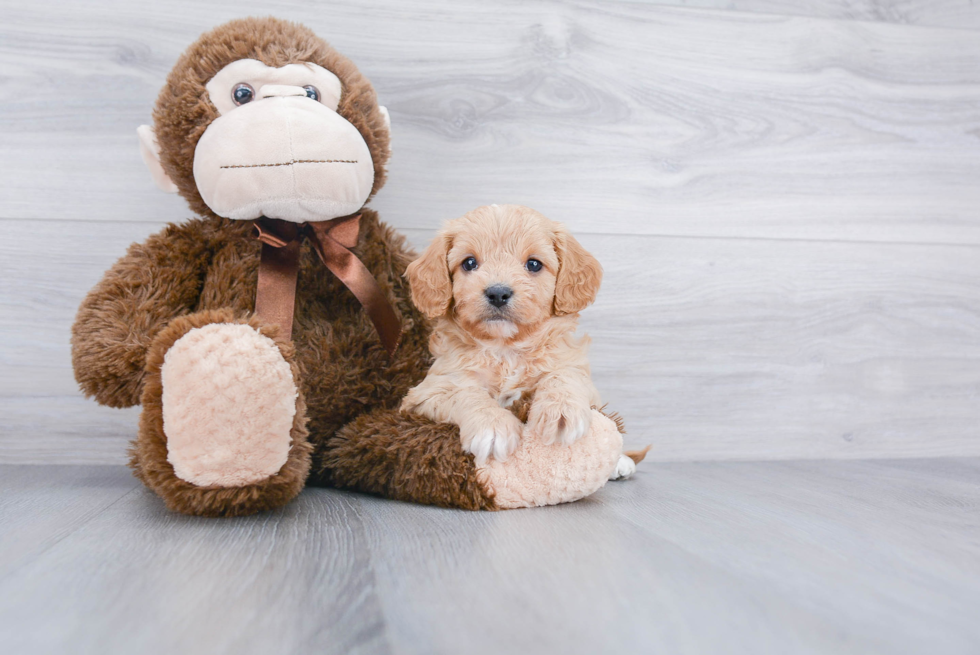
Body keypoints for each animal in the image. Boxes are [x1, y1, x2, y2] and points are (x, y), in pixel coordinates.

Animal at [398, 204, 628, 472]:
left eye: (534, 264)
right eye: (469, 263)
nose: (498, 293)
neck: (505, 349)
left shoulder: (572, 367)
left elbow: (564, 375)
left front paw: (561, 410)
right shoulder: (427, 391)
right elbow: (464, 392)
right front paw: (492, 425)